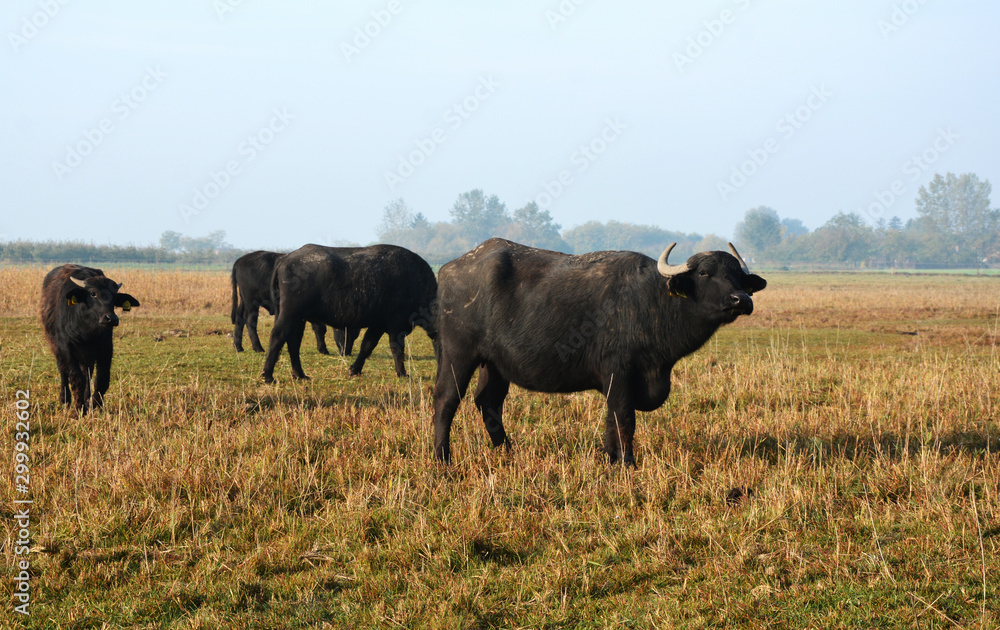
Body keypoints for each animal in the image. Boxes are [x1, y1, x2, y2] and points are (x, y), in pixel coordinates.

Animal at [40, 266, 142, 414]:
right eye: (93, 294)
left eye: (114, 296)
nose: (111, 319)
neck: (86, 329)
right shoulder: (65, 348)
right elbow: (77, 379)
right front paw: (79, 408)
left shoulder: (106, 349)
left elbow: (102, 380)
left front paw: (93, 404)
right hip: (56, 346)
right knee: (63, 370)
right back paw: (65, 400)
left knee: (87, 373)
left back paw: (86, 399)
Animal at [230, 253, 360, 360]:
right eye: (347, 332)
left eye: (355, 335)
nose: (347, 352)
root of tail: (240, 261)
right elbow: (320, 328)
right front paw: (323, 349)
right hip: (251, 301)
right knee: (250, 320)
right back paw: (258, 347)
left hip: (244, 300)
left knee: (239, 318)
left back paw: (238, 346)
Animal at [262, 243, 438, 386]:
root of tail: (285, 259)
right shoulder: (396, 326)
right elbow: (397, 349)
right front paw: (402, 373)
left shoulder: (378, 325)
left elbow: (367, 346)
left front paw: (355, 370)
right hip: (290, 314)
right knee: (278, 336)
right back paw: (268, 376)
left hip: (299, 318)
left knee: (293, 342)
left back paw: (300, 374)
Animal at [430, 239, 764, 466]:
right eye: (705, 273)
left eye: (738, 275)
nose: (742, 299)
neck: (653, 302)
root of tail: (449, 269)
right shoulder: (618, 373)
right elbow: (623, 417)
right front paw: (626, 463)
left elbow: (612, 420)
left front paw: (611, 456)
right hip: (458, 353)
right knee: (446, 401)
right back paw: (442, 458)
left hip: (495, 364)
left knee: (489, 403)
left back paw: (507, 451)